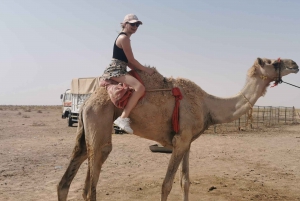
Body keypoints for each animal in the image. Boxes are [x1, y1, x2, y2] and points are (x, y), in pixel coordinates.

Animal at [56, 57, 298, 200]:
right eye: (272, 62)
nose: (294, 64)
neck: (208, 105)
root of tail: (87, 102)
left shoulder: (187, 141)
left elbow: (185, 182)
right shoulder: (179, 141)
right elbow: (166, 184)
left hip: (85, 131)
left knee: (67, 179)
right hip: (101, 123)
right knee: (91, 183)